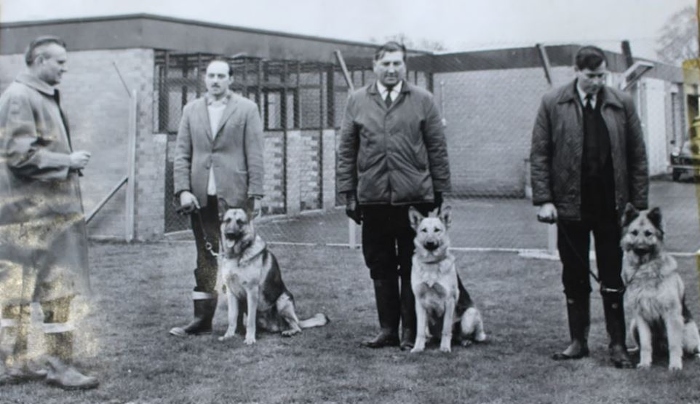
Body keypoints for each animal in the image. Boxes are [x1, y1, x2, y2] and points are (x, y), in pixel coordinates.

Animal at [217, 200, 330, 346]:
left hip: (283, 301)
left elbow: (250, 321)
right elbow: (232, 317)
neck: (237, 255)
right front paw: (229, 335)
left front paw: (250, 338)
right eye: (227, 220)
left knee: (296, 326)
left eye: (240, 222)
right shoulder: (231, 293)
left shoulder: (252, 291)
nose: (229, 234)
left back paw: (289, 331)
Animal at [404, 207, 486, 352]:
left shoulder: (449, 301)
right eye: (424, 230)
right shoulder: (419, 303)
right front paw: (418, 347)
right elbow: (420, 330)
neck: (431, 264)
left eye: (437, 230)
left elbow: (446, 330)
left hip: (469, 315)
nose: (430, 243)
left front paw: (445, 348)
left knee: (462, 335)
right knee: (430, 333)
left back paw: (465, 341)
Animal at [620, 204, 696, 370]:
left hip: (688, 330)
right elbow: (646, 345)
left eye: (649, 234)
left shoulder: (672, 315)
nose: (640, 249)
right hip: (634, 325)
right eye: (634, 233)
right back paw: (634, 351)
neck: (645, 271)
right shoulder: (640, 317)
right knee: (643, 346)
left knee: (689, 349)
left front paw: (675, 365)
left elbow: (674, 344)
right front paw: (644, 363)